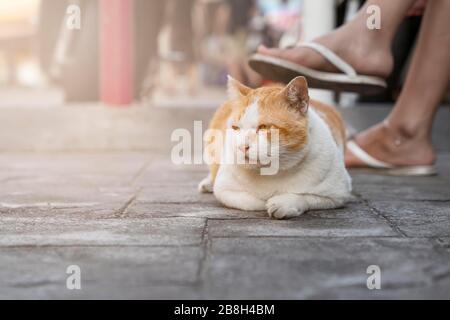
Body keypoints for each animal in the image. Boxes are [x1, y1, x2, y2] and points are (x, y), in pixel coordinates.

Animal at [200, 75, 352, 220]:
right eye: (235, 128)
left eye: (263, 127)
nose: (242, 146)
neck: (271, 172)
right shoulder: (224, 189)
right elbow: (252, 202)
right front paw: (265, 202)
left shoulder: (338, 194)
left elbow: (306, 197)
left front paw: (284, 204)